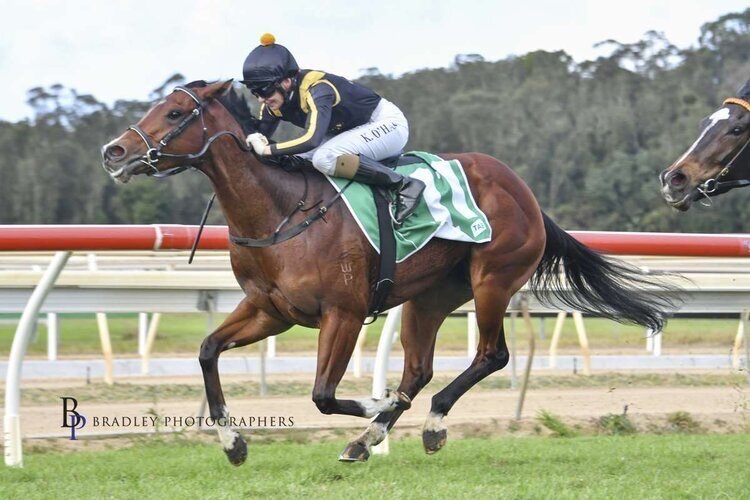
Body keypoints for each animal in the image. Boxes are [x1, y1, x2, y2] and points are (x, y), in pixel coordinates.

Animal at [101, 80, 680, 466]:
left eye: (176, 111)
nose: (114, 151)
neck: (280, 210)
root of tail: (526, 193)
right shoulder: (271, 312)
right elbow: (206, 352)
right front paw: (234, 443)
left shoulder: (344, 312)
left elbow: (323, 395)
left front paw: (373, 405)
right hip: (428, 297)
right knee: (418, 370)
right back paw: (371, 437)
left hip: (492, 280)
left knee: (490, 355)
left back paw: (425, 424)